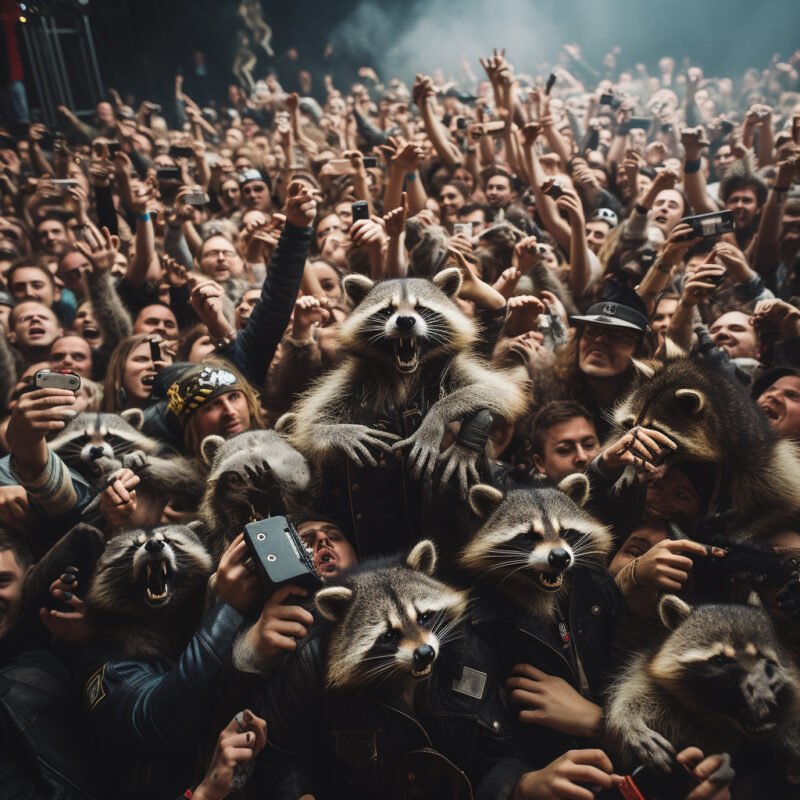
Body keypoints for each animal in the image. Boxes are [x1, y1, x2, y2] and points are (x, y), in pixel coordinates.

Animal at [288, 268, 532, 494]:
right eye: (388, 310)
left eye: (421, 308)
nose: (405, 321)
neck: (405, 374)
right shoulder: (354, 376)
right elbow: (307, 424)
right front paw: (345, 433)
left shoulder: (454, 367)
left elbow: (500, 390)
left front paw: (435, 418)